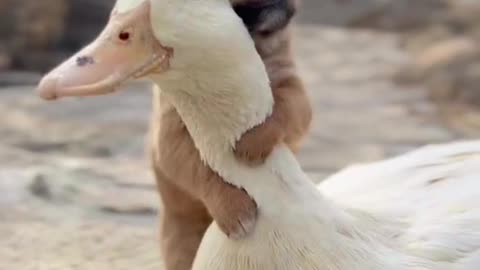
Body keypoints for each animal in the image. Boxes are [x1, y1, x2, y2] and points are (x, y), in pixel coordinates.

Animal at [150, 1, 314, 268]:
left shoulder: (291, 87)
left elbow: (282, 111)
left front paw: (255, 141)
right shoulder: (172, 136)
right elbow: (205, 171)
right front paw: (233, 209)